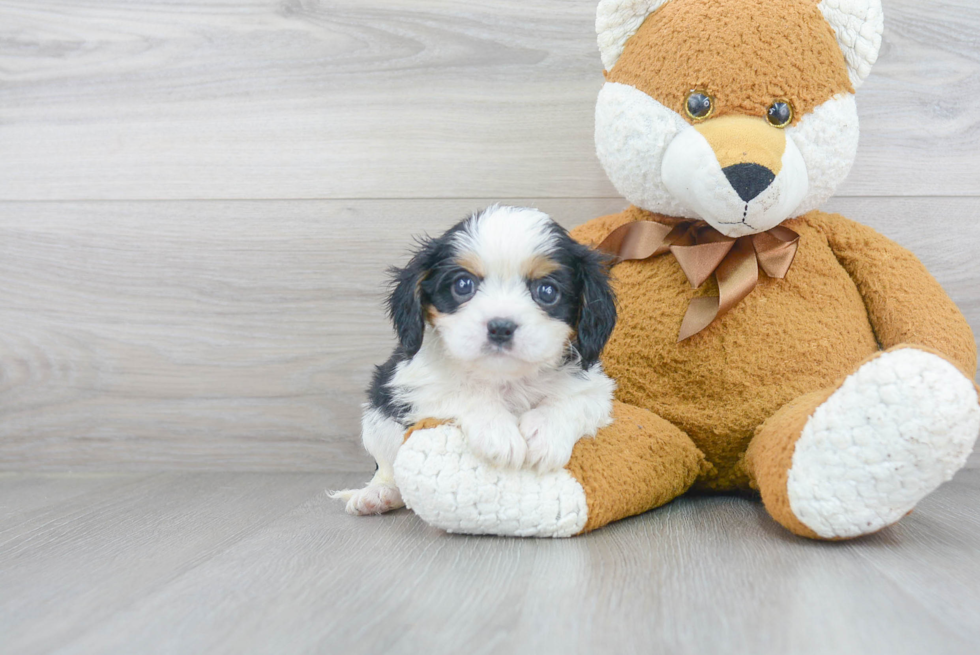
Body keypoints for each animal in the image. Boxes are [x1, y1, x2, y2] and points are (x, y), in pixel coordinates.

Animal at [334, 208, 616, 516]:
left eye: (547, 291)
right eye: (463, 285)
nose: (501, 327)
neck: (504, 378)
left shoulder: (595, 389)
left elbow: (569, 401)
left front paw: (546, 434)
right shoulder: (413, 382)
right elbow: (464, 393)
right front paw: (498, 432)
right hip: (376, 418)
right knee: (387, 465)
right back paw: (378, 493)